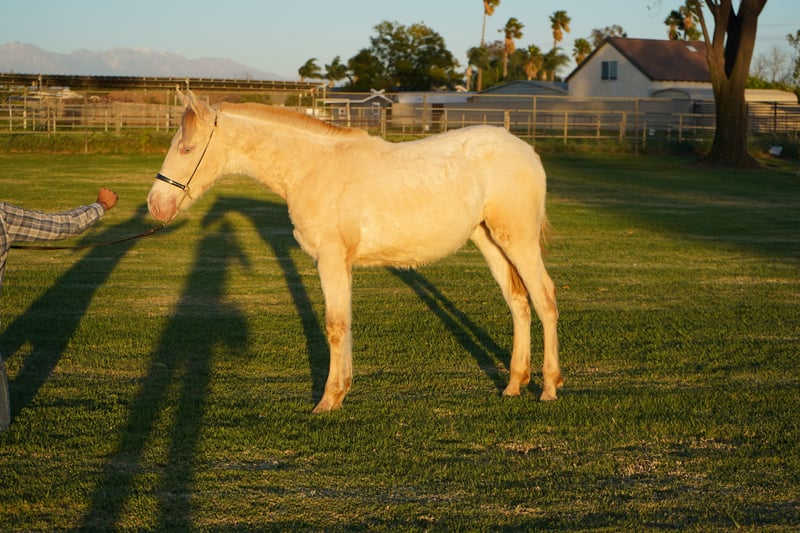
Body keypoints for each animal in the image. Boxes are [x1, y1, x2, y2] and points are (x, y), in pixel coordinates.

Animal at [147, 91, 562, 413]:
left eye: (186, 148)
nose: (156, 205)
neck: (311, 167)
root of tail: (527, 151)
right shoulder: (340, 263)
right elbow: (343, 323)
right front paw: (341, 390)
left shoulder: (331, 259)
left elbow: (334, 326)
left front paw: (328, 399)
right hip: (490, 241)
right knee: (518, 303)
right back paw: (514, 384)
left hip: (518, 241)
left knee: (544, 299)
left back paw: (549, 386)